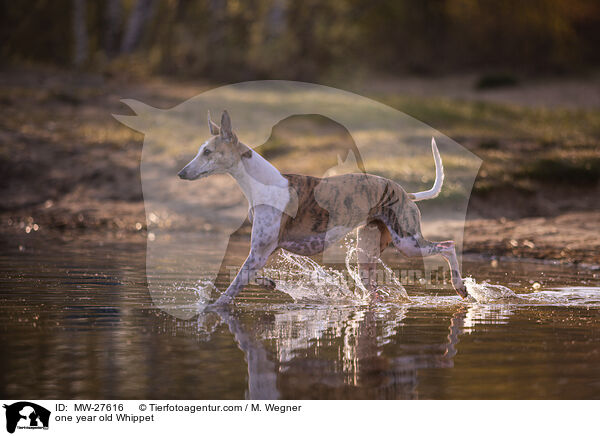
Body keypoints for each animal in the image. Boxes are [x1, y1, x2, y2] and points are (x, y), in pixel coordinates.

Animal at [178, 110, 468, 304]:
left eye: (207, 152)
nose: (181, 173)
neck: (263, 183)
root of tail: (406, 192)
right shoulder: (263, 251)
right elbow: (251, 274)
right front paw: (268, 283)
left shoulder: (259, 252)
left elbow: (229, 292)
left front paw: (211, 310)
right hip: (367, 253)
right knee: (373, 290)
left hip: (408, 242)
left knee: (448, 246)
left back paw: (460, 286)